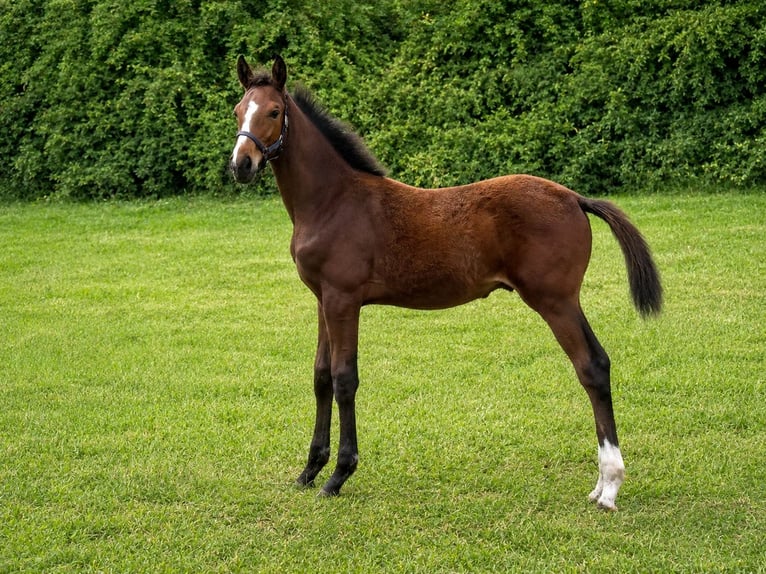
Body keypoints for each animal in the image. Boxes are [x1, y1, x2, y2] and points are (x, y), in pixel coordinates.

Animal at [229, 55, 662, 510]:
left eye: (274, 112)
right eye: (238, 111)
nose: (241, 164)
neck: (333, 202)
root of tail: (576, 199)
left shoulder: (343, 300)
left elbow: (345, 379)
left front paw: (338, 475)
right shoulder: (322, 300)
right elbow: (320, 377)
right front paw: (310, 469)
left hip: (556, 301)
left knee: (592, 366)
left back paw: (609, 486)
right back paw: (601, 483)